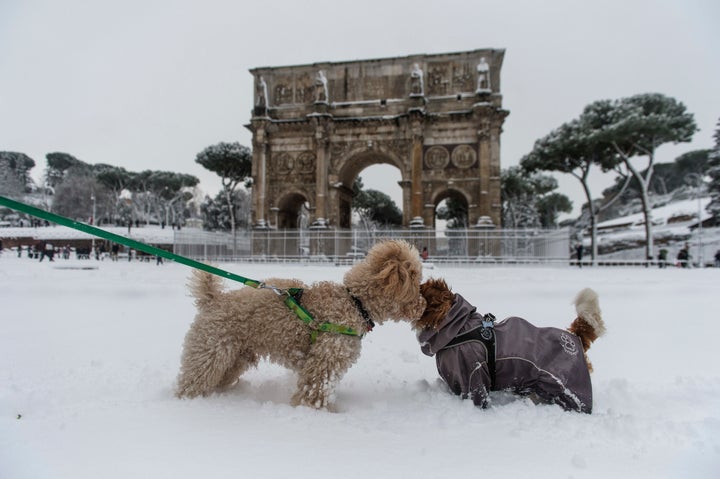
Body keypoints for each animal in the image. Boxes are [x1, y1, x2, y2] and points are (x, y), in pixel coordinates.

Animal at [175, 242, 424, 410]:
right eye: (416, 280)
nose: (424, 305)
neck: (354, 301)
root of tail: (213, 299)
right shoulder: (325, 359)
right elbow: (315, 391)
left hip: (235, 357)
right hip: (210, 352)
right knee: (190, 383)